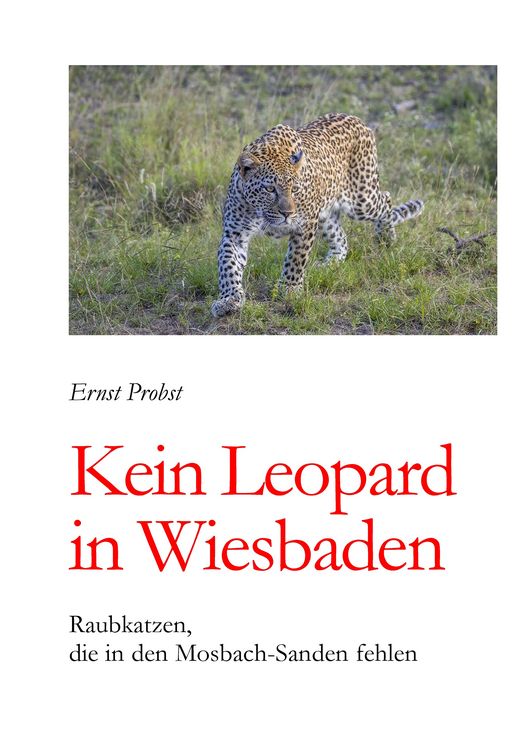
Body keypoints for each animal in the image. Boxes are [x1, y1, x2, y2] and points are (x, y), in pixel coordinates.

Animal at [211, 113, 423, 317]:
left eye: (295, 189)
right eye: (270, 189)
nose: (287, 213)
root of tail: (359, 121)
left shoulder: (305, 224)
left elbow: (296, 259)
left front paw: (289, 289)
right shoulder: (235, 233)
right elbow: (228, 266)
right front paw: (229, 299)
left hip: (361, 200)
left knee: (385, 198)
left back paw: (386, 238)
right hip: (326, 215)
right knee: (341, 239)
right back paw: (329, 263)